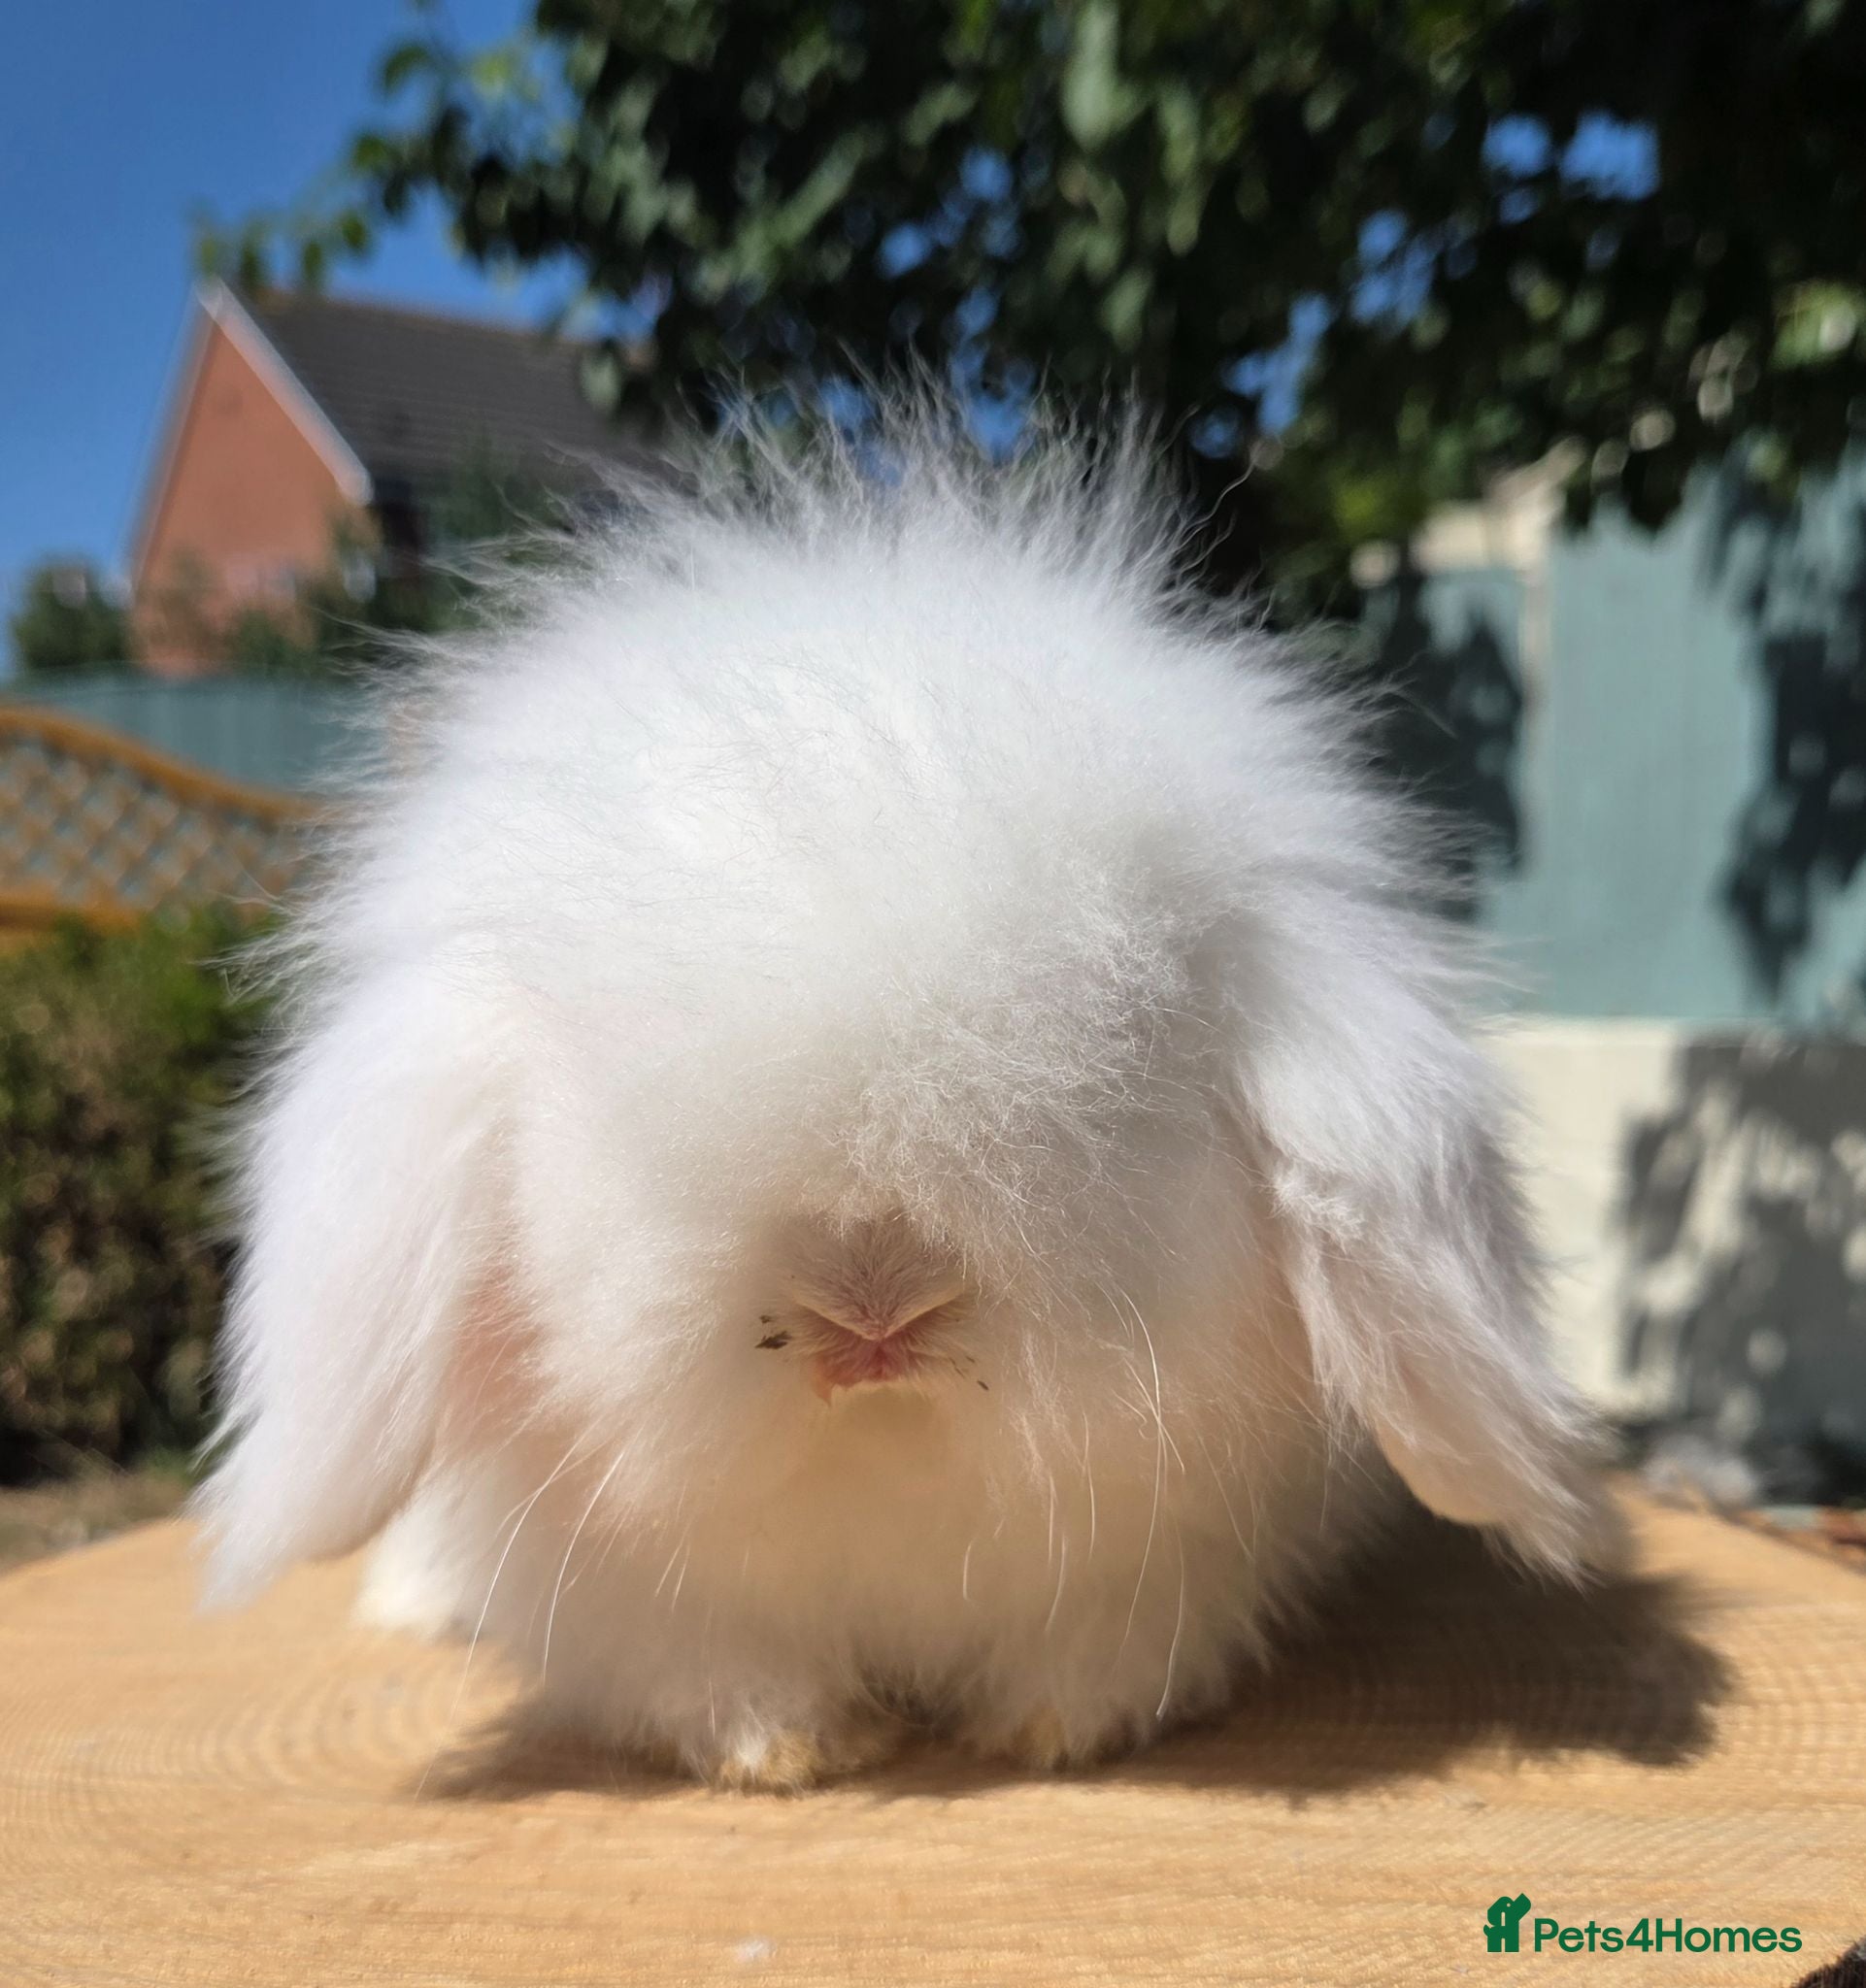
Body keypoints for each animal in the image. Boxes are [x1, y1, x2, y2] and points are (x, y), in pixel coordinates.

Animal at [197, 405, 1620, 1790]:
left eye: (1132, 1061)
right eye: (594, 1114)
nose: (871, 1302)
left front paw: (1053, 1732)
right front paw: (789, 1751)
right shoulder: (623, 1590)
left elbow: (1098, 1650)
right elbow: (711, 1667)